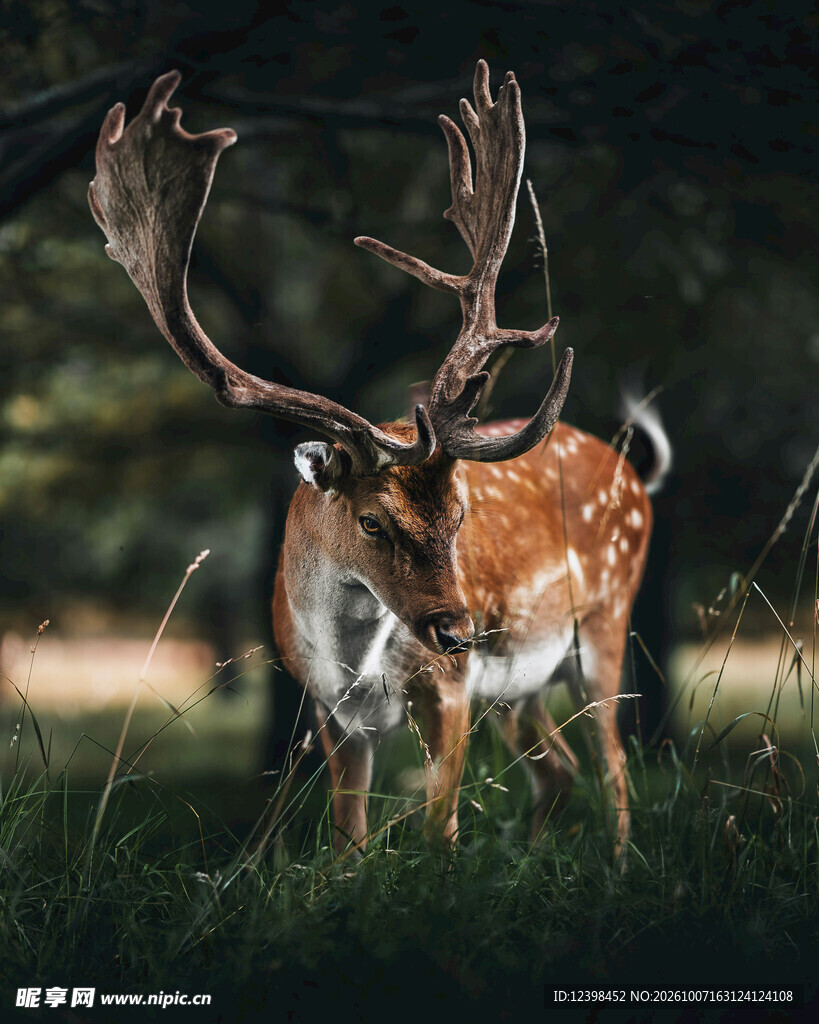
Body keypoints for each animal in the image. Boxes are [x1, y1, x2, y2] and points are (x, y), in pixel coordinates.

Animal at [88, 61, 669, 859]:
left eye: (460, 515)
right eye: (371, 521)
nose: (458, 631)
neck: (357, 668)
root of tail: (634, 476)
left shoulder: (449, 689)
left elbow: (438, 828)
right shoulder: (328, 712)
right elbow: (347, 841)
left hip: (606, 623)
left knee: (616, 769)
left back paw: (615, 864)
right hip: (521, 686)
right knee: (561, 767)